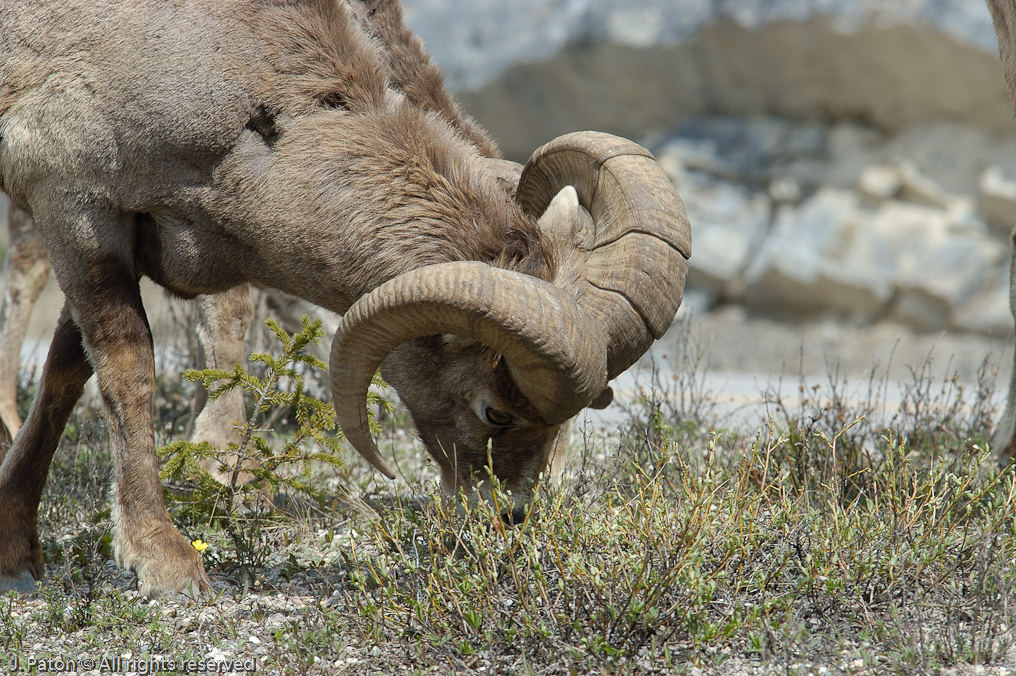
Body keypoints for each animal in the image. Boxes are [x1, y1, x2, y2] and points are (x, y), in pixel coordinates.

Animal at [0, 0, 691, 597]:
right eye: (495, 411)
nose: (508, 518)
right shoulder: (77, 210)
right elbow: (127, 371)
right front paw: (165, 565)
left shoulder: (120, 241)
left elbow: (66, 374)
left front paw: (17, 556)